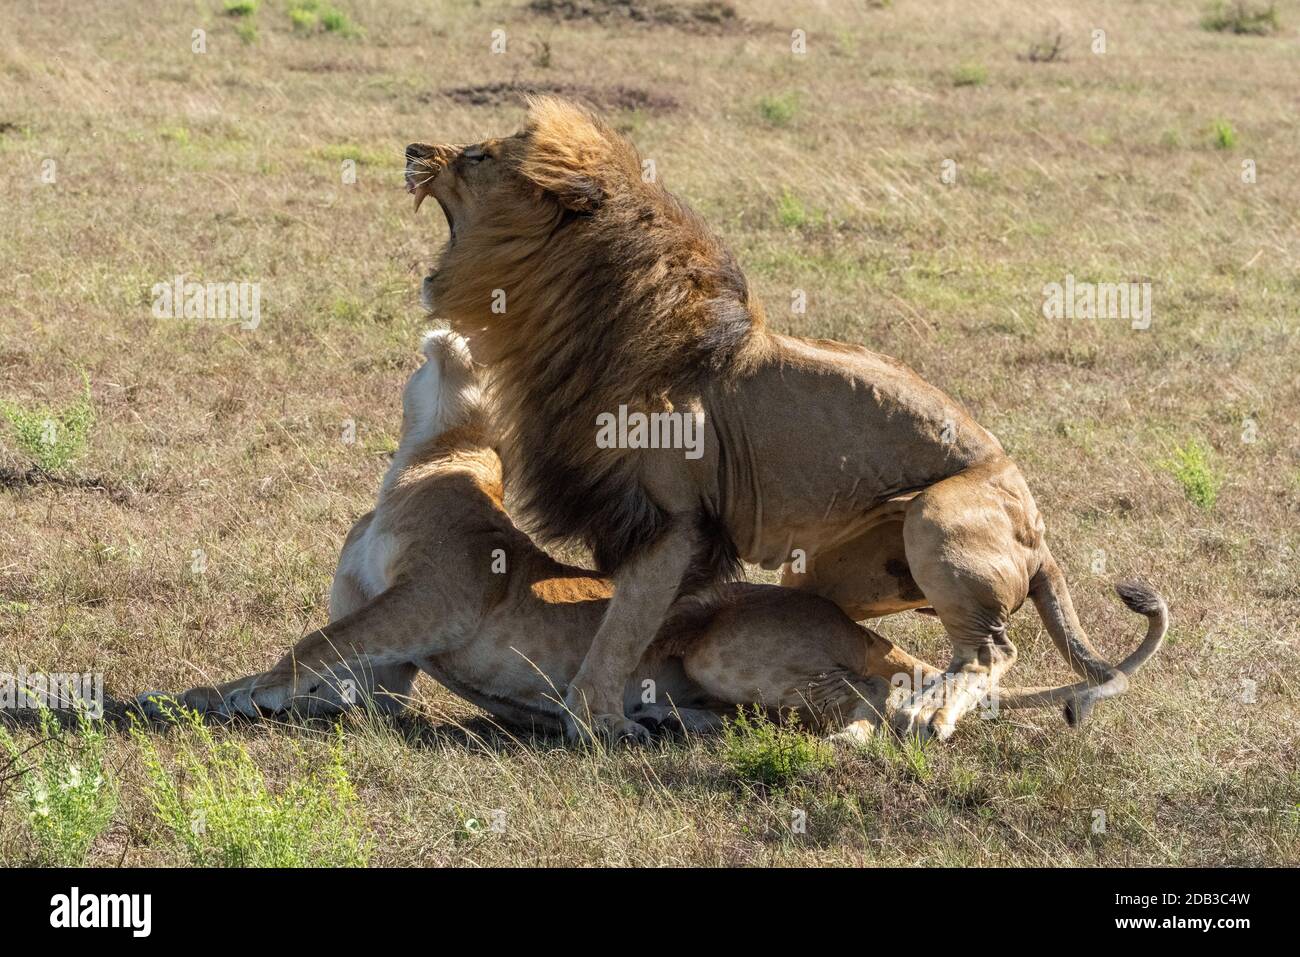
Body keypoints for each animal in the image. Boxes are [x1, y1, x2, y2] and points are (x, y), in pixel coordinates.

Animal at [164, 330, 1070, 741]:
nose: (459, 327)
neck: (429, 456)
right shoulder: (389, 677)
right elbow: (341, 676)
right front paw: (226, 698)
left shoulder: (438, 600)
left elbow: (316, 640)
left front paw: (233, 693)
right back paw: (668, 724)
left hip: (731, 644)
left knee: (874, 697)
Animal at [404, 97, 1168, 745]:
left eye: (477, 156)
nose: (412, 147)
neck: (562, 304)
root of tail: (1039, 536)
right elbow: (626, 623)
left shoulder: (672, 524)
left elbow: (619, 632)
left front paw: (593, 722)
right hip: (832, 572)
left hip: (939, 514)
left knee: (991, 648)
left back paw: (931, 712)